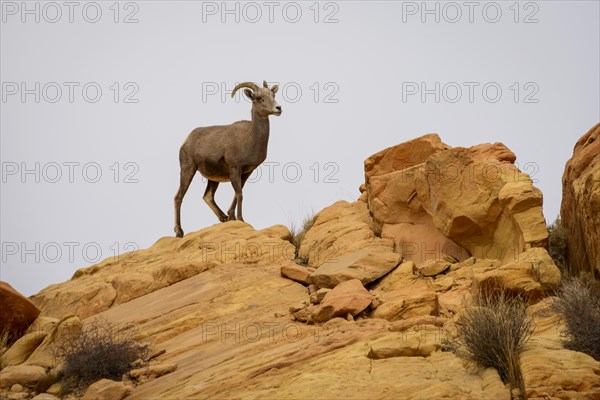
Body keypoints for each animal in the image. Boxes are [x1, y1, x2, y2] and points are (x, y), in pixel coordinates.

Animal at [173, 81, 282, 238]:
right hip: (188, 169)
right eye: (259, 97)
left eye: (273, 95)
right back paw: (179, 232)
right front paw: (241, 219)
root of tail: (186, 140)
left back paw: (223, 218)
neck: (251, 139)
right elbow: (240, 194)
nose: (278, 108)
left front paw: (231, 217)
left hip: (213, 178)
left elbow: (238, 193)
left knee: (207, 196)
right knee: (179, 197)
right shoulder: (235, 168)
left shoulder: (246, 172)